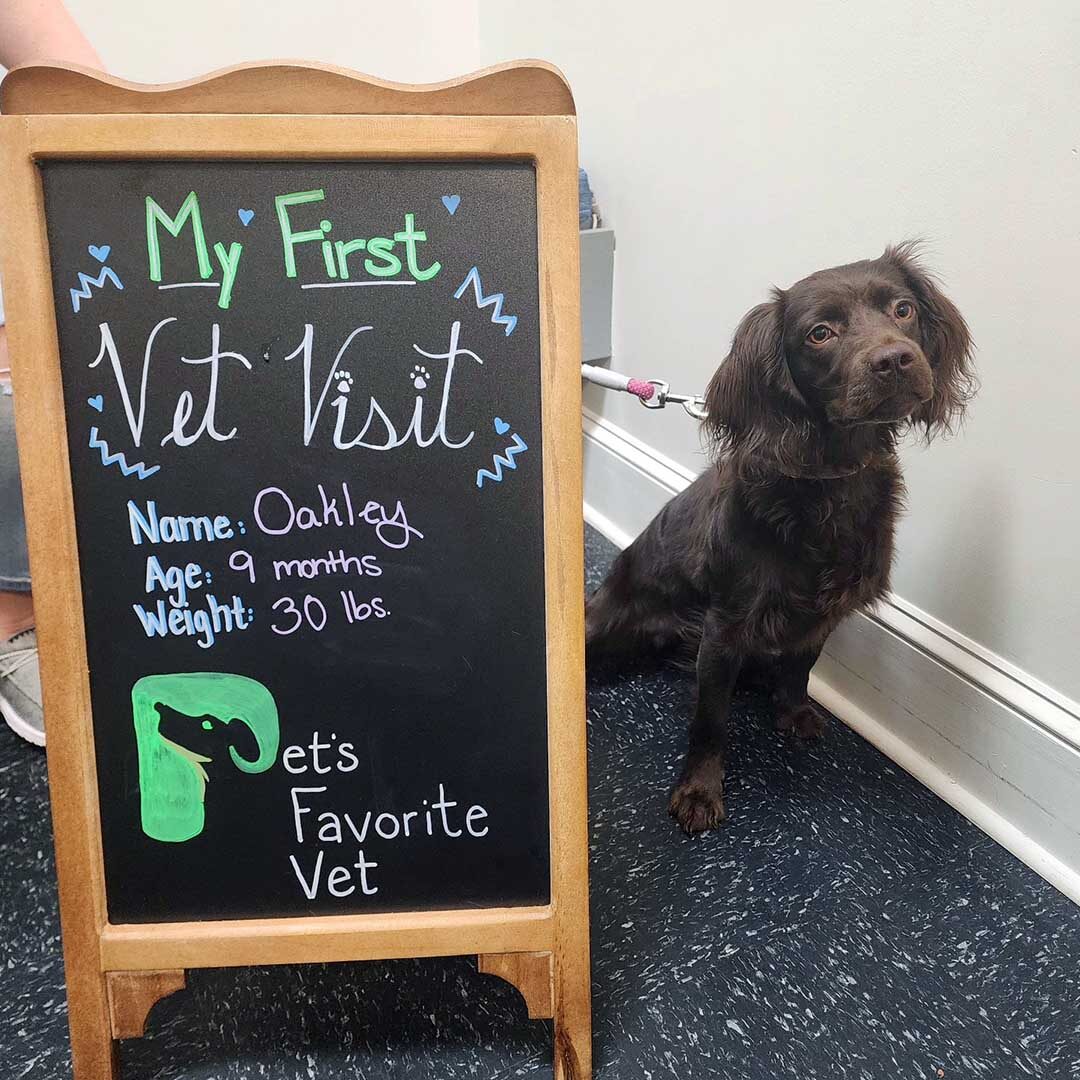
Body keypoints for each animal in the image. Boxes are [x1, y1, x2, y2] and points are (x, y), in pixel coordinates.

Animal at [587, 247, 976, 833]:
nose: (895, 359)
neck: (829, 480)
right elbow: (710, 721)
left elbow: (801, 667)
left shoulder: (822, 613)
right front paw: (699, 791)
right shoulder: (724, 627)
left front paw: (793, 713)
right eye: (820, 333)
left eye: (903, 309)